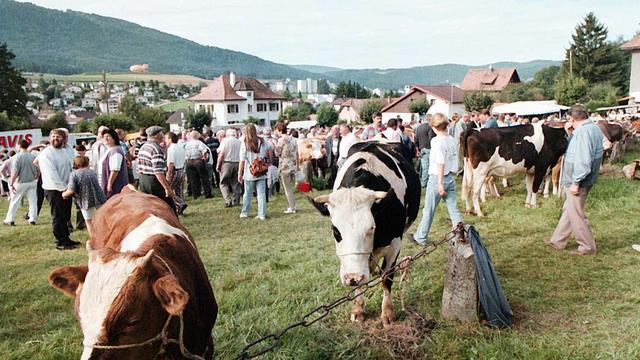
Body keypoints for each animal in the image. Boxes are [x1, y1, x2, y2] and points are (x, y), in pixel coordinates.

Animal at [310, 141, 420, 326]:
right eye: (335, 230)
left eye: (371, 228)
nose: (352, 277)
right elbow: (360, 285)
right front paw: (358, 309)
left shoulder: (395, 243)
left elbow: (386, 278)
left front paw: (387, 313)